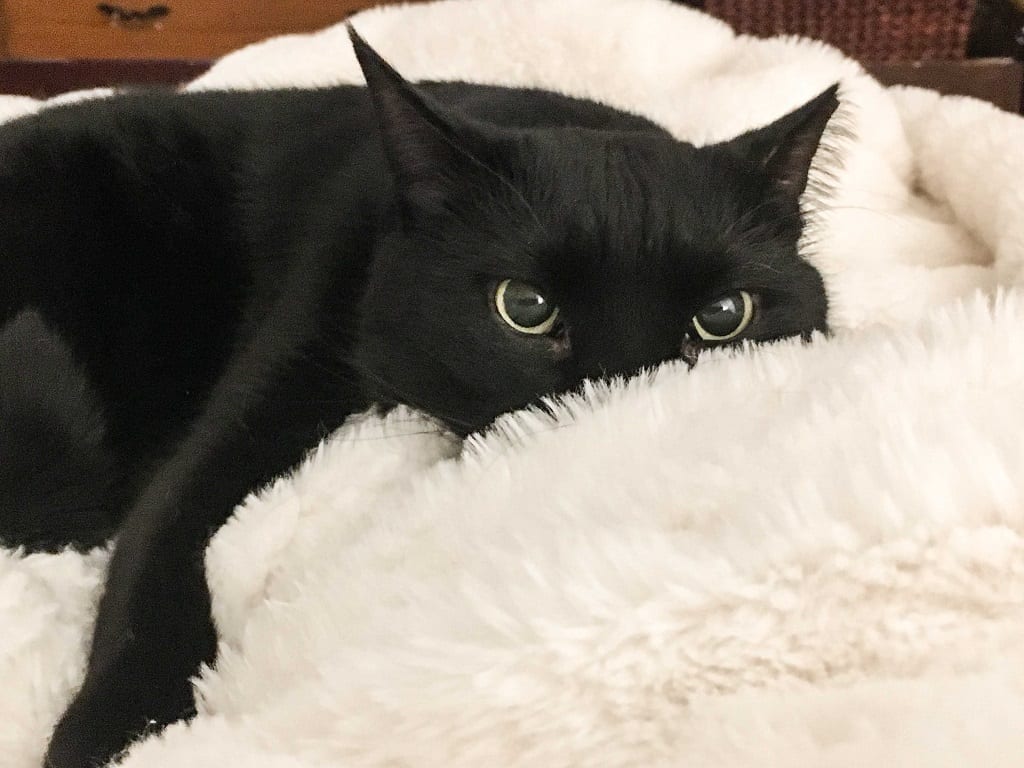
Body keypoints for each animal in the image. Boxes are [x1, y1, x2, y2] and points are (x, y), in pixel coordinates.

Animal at [0, 27, 835, 765]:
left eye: (722, 318)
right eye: (523, 307)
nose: (620, 404)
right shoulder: (272, 377)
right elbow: (161, 542)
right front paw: (119, 734)